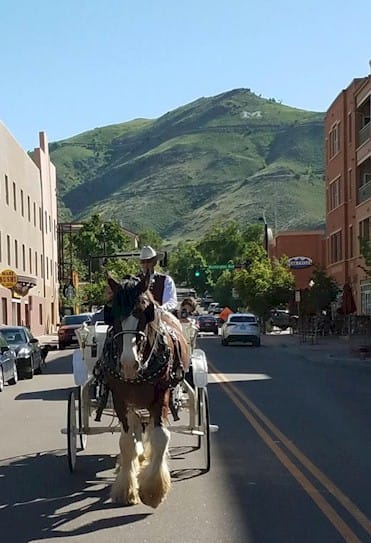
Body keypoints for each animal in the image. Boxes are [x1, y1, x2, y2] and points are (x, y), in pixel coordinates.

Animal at [104, 274, 190, 508]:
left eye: (145, 312)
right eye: (113, 314)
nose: (128, 363)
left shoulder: (161, 395)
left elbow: (161, 437)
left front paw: (153, 489)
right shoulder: (120, 398)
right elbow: (127, 442)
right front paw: (126, 487)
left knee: (151, 430)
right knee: (137, 430)